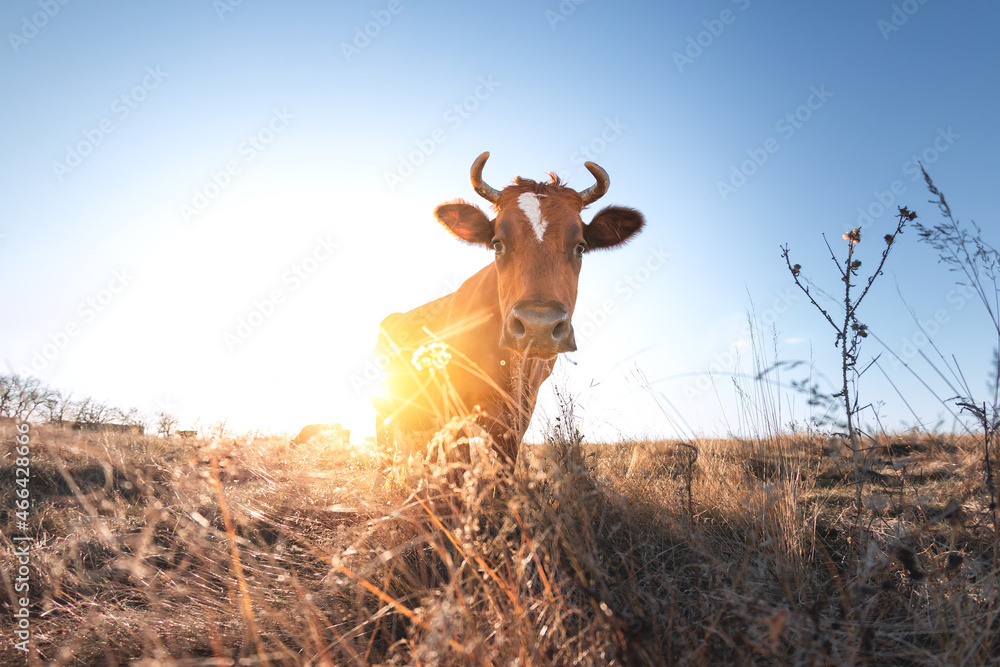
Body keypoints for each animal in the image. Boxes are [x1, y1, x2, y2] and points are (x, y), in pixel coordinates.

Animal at [372, 153, 644, 468]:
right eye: (497, 244)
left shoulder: (519, 413)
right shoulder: (453, 410)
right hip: (385, 412)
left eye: (580, 247)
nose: (538, 326)